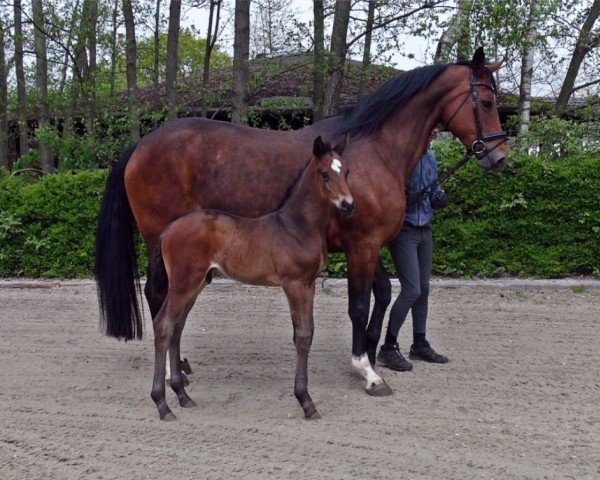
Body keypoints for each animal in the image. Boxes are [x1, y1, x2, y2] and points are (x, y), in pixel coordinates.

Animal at [149, 135, 352, 420]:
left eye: (346, 172)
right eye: (324, 174)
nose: (348, 204)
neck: (297, 227)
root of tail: (168, 229)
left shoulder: (310, 284)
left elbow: (309, 332)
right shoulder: (294, 284)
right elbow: (301, 336)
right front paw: (306, 402)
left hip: (197, 284)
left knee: (177, 327)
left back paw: (182, 395)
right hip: (182, 283)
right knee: (164, 325)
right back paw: (162, 404)